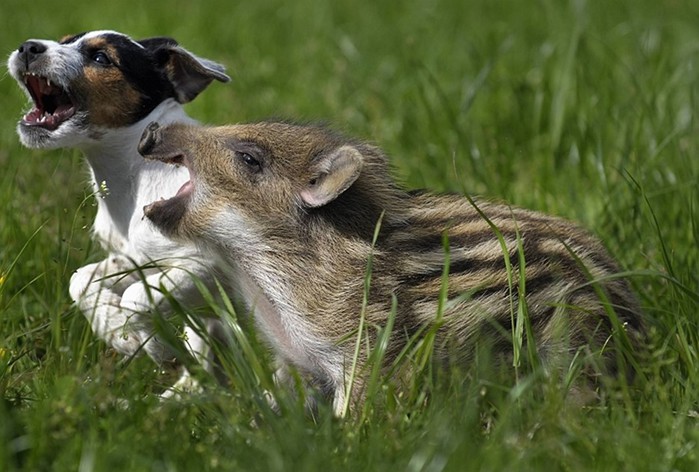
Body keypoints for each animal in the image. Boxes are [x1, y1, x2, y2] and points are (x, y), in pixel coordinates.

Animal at [8, 30, 231, 394]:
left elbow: (135, 297)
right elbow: (80, 281)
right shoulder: (133, 259)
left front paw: (157, 346)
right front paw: (119, 333)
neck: (135, 179)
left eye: (101, 58)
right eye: (64, 40)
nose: (27, 47)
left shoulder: (208, 265)